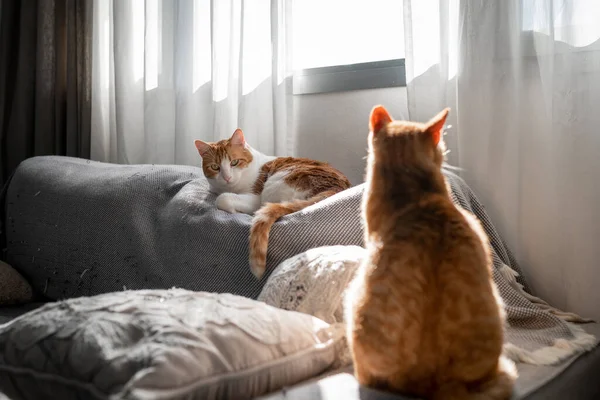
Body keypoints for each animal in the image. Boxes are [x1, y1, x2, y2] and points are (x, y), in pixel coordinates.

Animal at [195, 130, 350, 280]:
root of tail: (335, 188)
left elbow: (222, 199)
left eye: (234, 162)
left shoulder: (255, 198)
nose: (227, 177)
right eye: (215, 167)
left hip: (275, 184)